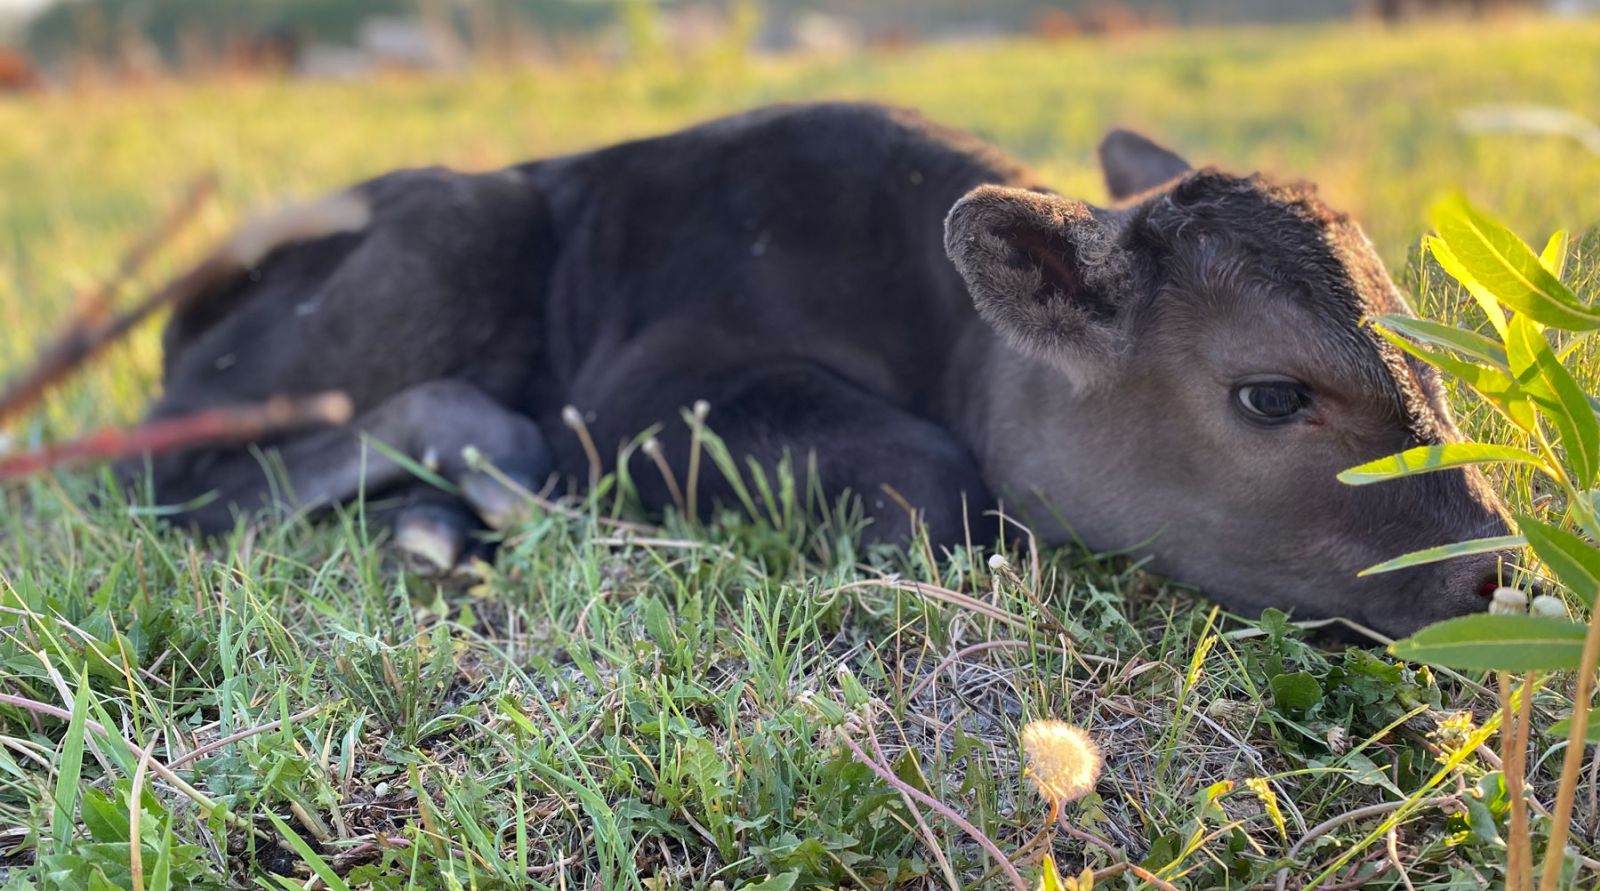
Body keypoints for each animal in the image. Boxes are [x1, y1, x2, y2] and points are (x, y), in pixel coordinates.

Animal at [131, 102, 1513, 638]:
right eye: (1272, 393)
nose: (1494, 571)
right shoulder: (643, 400)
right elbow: (933, 477)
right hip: (452, 233)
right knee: (177, 481)